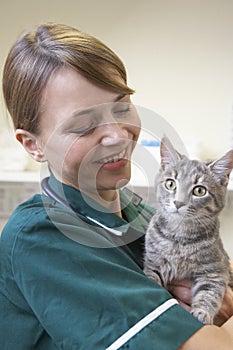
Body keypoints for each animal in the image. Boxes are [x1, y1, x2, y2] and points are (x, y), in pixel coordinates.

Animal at [143, 135, 233, 324]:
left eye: (199, 190)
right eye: (170, 184)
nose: (178, 202)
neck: (180, 239)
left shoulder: (216, 271)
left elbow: (209, 293)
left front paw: (202, 313)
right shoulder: (154, 262)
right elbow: (151, 277)